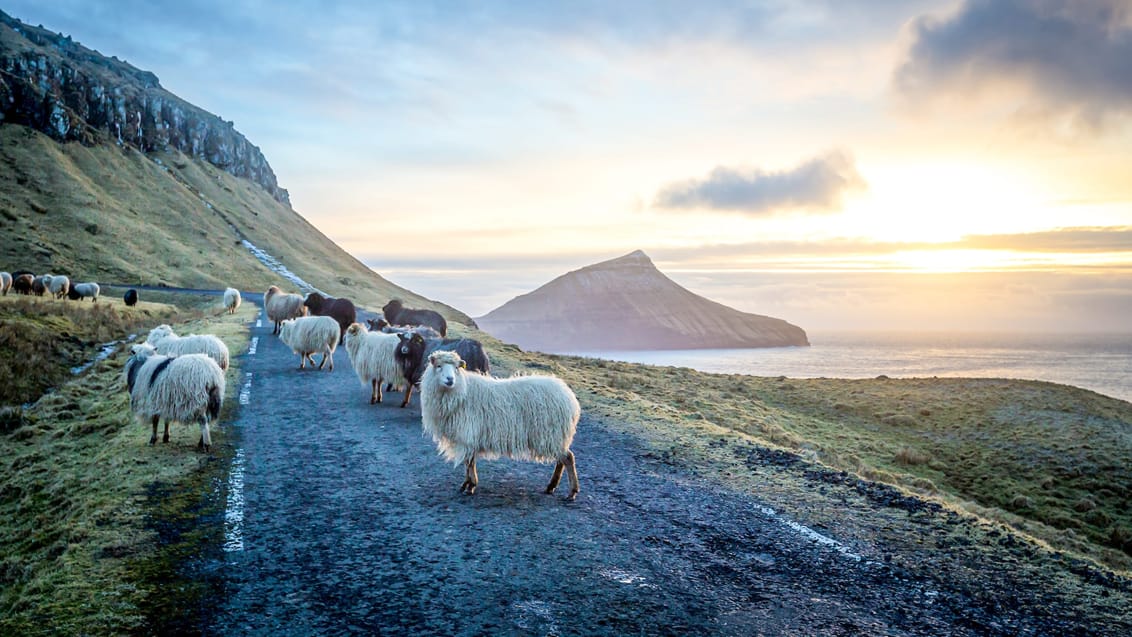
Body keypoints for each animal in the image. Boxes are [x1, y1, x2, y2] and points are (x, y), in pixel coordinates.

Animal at [423, 350, 584, 500]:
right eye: (438, 366)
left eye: (456, 367)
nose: (450, 379)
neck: (462, 391)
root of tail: (569, 396)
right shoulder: (469, 437)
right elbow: (469, 461)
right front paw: (467, 483)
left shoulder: (468, 434)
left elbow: (469, 462)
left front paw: (470, 485)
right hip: (555, 436)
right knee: (561, 460)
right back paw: (551, 487)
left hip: (552, 434)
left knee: (568, 458)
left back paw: (572, 491)